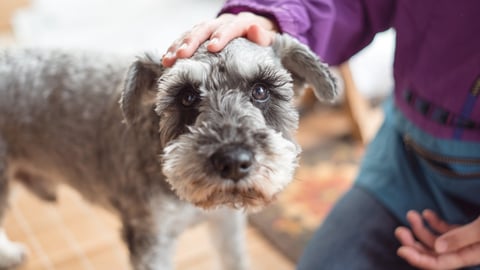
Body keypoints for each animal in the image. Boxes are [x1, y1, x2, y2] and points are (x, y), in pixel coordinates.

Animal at [0, 33, 338, 270]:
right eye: (186, 96)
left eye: (261, 90)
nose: (232, 162)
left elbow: (234, 259)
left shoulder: (226, 223)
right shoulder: (151, 240)